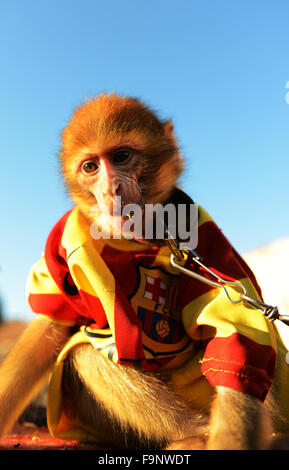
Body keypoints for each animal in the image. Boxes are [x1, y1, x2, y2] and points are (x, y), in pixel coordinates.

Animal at [0, 93, 286, 450]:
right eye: (91, 167)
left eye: (121, 157)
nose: (111, 189)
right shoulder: (63, 242)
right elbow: (52, 325)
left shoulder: (207, 240)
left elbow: (235, 328)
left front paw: (228, 440)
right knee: (84, 350)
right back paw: (191, 432)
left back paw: (199, 434)